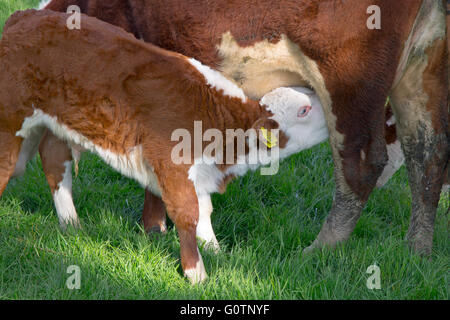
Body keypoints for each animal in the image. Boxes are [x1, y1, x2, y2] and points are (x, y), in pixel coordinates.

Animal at [39, 0, 450, 255]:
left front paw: (154, 226)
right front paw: (154, 227)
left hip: (351, 74)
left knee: (362, 164)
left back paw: (320, 249)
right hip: (425, 64)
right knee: (428, 155)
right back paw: (417, 251)